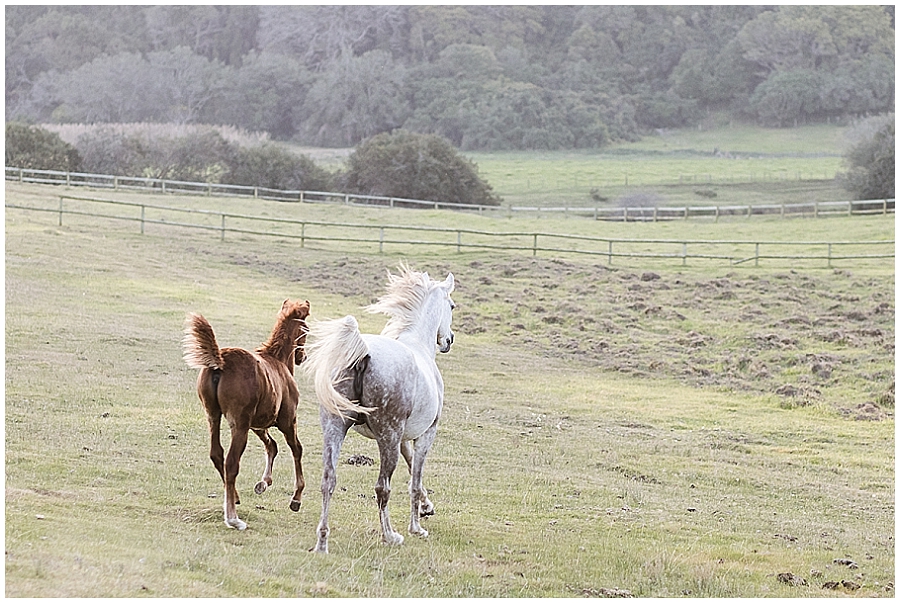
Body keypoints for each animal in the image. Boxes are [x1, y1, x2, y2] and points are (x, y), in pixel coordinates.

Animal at [182, 299, 310, 531]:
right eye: (306, 330)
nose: (302, 357)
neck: (278, 361)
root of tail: (220, 361)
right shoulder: (288, 421)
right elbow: (296, 449)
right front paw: (296, 498)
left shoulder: (258, 424)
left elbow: (272, 446)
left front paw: (263, 483)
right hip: (239, 425)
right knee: (231, 462)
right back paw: (233, 518)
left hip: (213, 416)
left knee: (217, 454)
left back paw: (234, 497)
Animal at [303, 266, 455, 553]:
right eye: (452, 305)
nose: (449, 340)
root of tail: (363, 353)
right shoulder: (425, 435)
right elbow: (414, 479)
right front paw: (417, 527)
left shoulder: (403, 439)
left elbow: (412, 469)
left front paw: (427, 507)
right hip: (387, 438)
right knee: (382, 487)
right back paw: (390, 535)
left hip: (335, 428)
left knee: (329, 481)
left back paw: (322, 543)